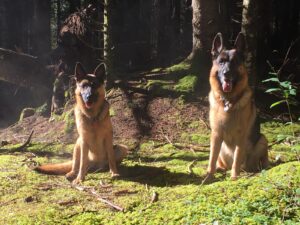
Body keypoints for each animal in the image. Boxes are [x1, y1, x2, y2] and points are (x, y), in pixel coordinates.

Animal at [203, 33, 268, 183]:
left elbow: (237, 159)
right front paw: (209, 175)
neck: (228, 101)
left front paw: (234, 177)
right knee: (221, 163)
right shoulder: (216, 134)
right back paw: (220, 169)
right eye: (221, 62)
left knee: (255, 162)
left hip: (263, 140)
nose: (226, 73)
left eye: (234, 62)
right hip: (221, 147)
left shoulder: (241, 136)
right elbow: (211, 158)